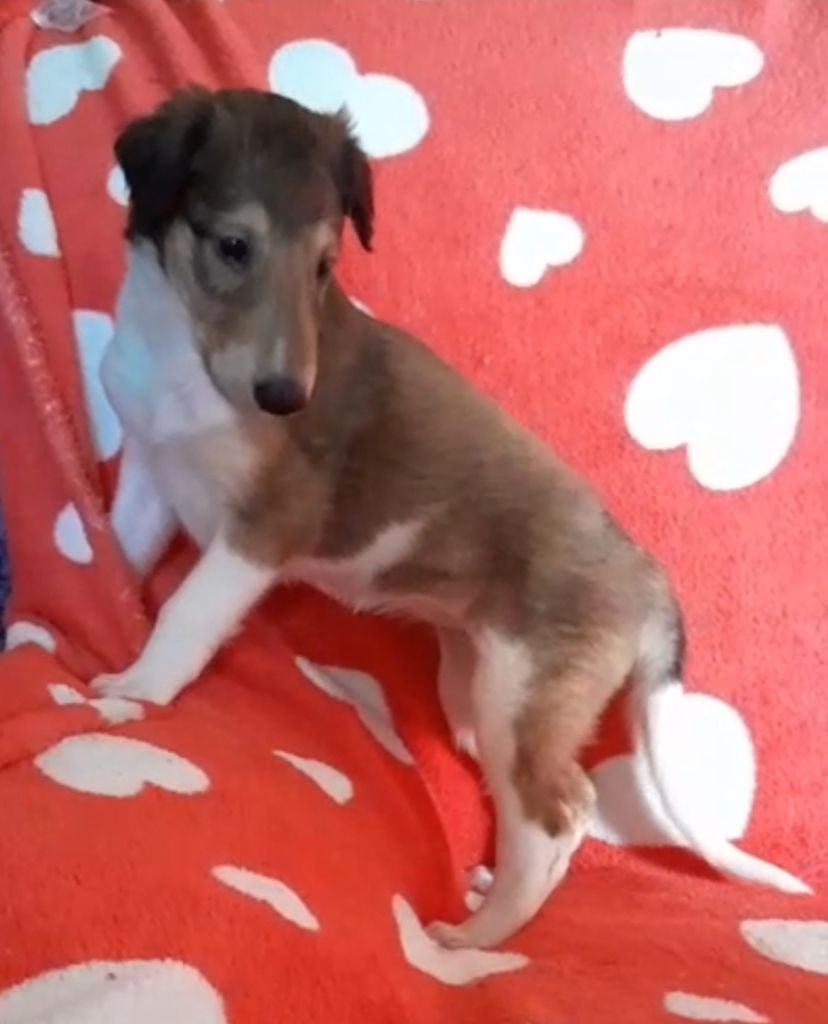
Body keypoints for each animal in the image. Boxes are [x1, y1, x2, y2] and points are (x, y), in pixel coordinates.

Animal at [95, 87, 809, 950]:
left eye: (325, 266)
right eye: (234, 246)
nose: (285, 397)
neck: (180, 354)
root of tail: (650, 578)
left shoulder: (265, 527)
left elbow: (185, 614)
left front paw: (136, 688)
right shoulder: (150, 471)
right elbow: (122, 550)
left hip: (523, 693)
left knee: (559, 813)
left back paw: (473, 940)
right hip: (480, 692)